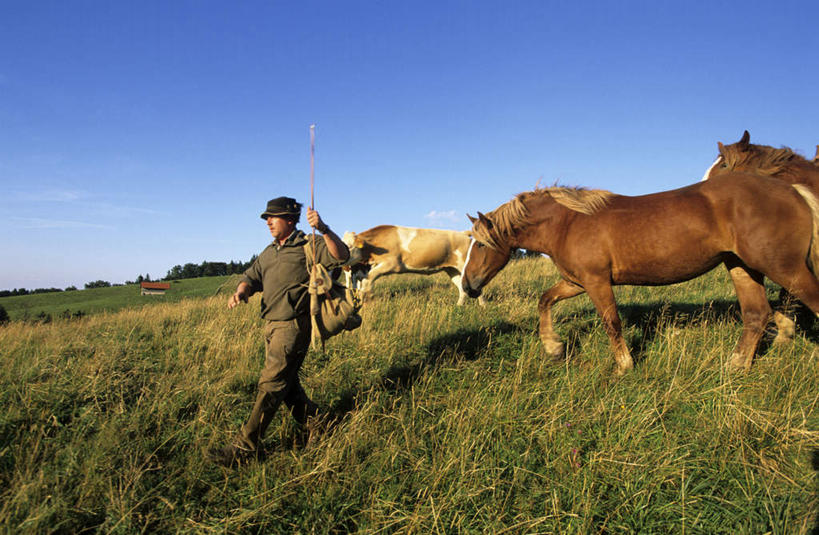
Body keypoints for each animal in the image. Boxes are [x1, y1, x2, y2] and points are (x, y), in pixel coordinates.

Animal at [342, 226, 486, 308]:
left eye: (349, 246)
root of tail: (463, 234)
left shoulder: (393, 264)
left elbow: (368, 279)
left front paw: (367, 298)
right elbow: (364, 279)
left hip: (466, 267)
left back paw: (483, 306)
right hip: (452, 269)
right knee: (462, 288)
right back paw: (459, 307)